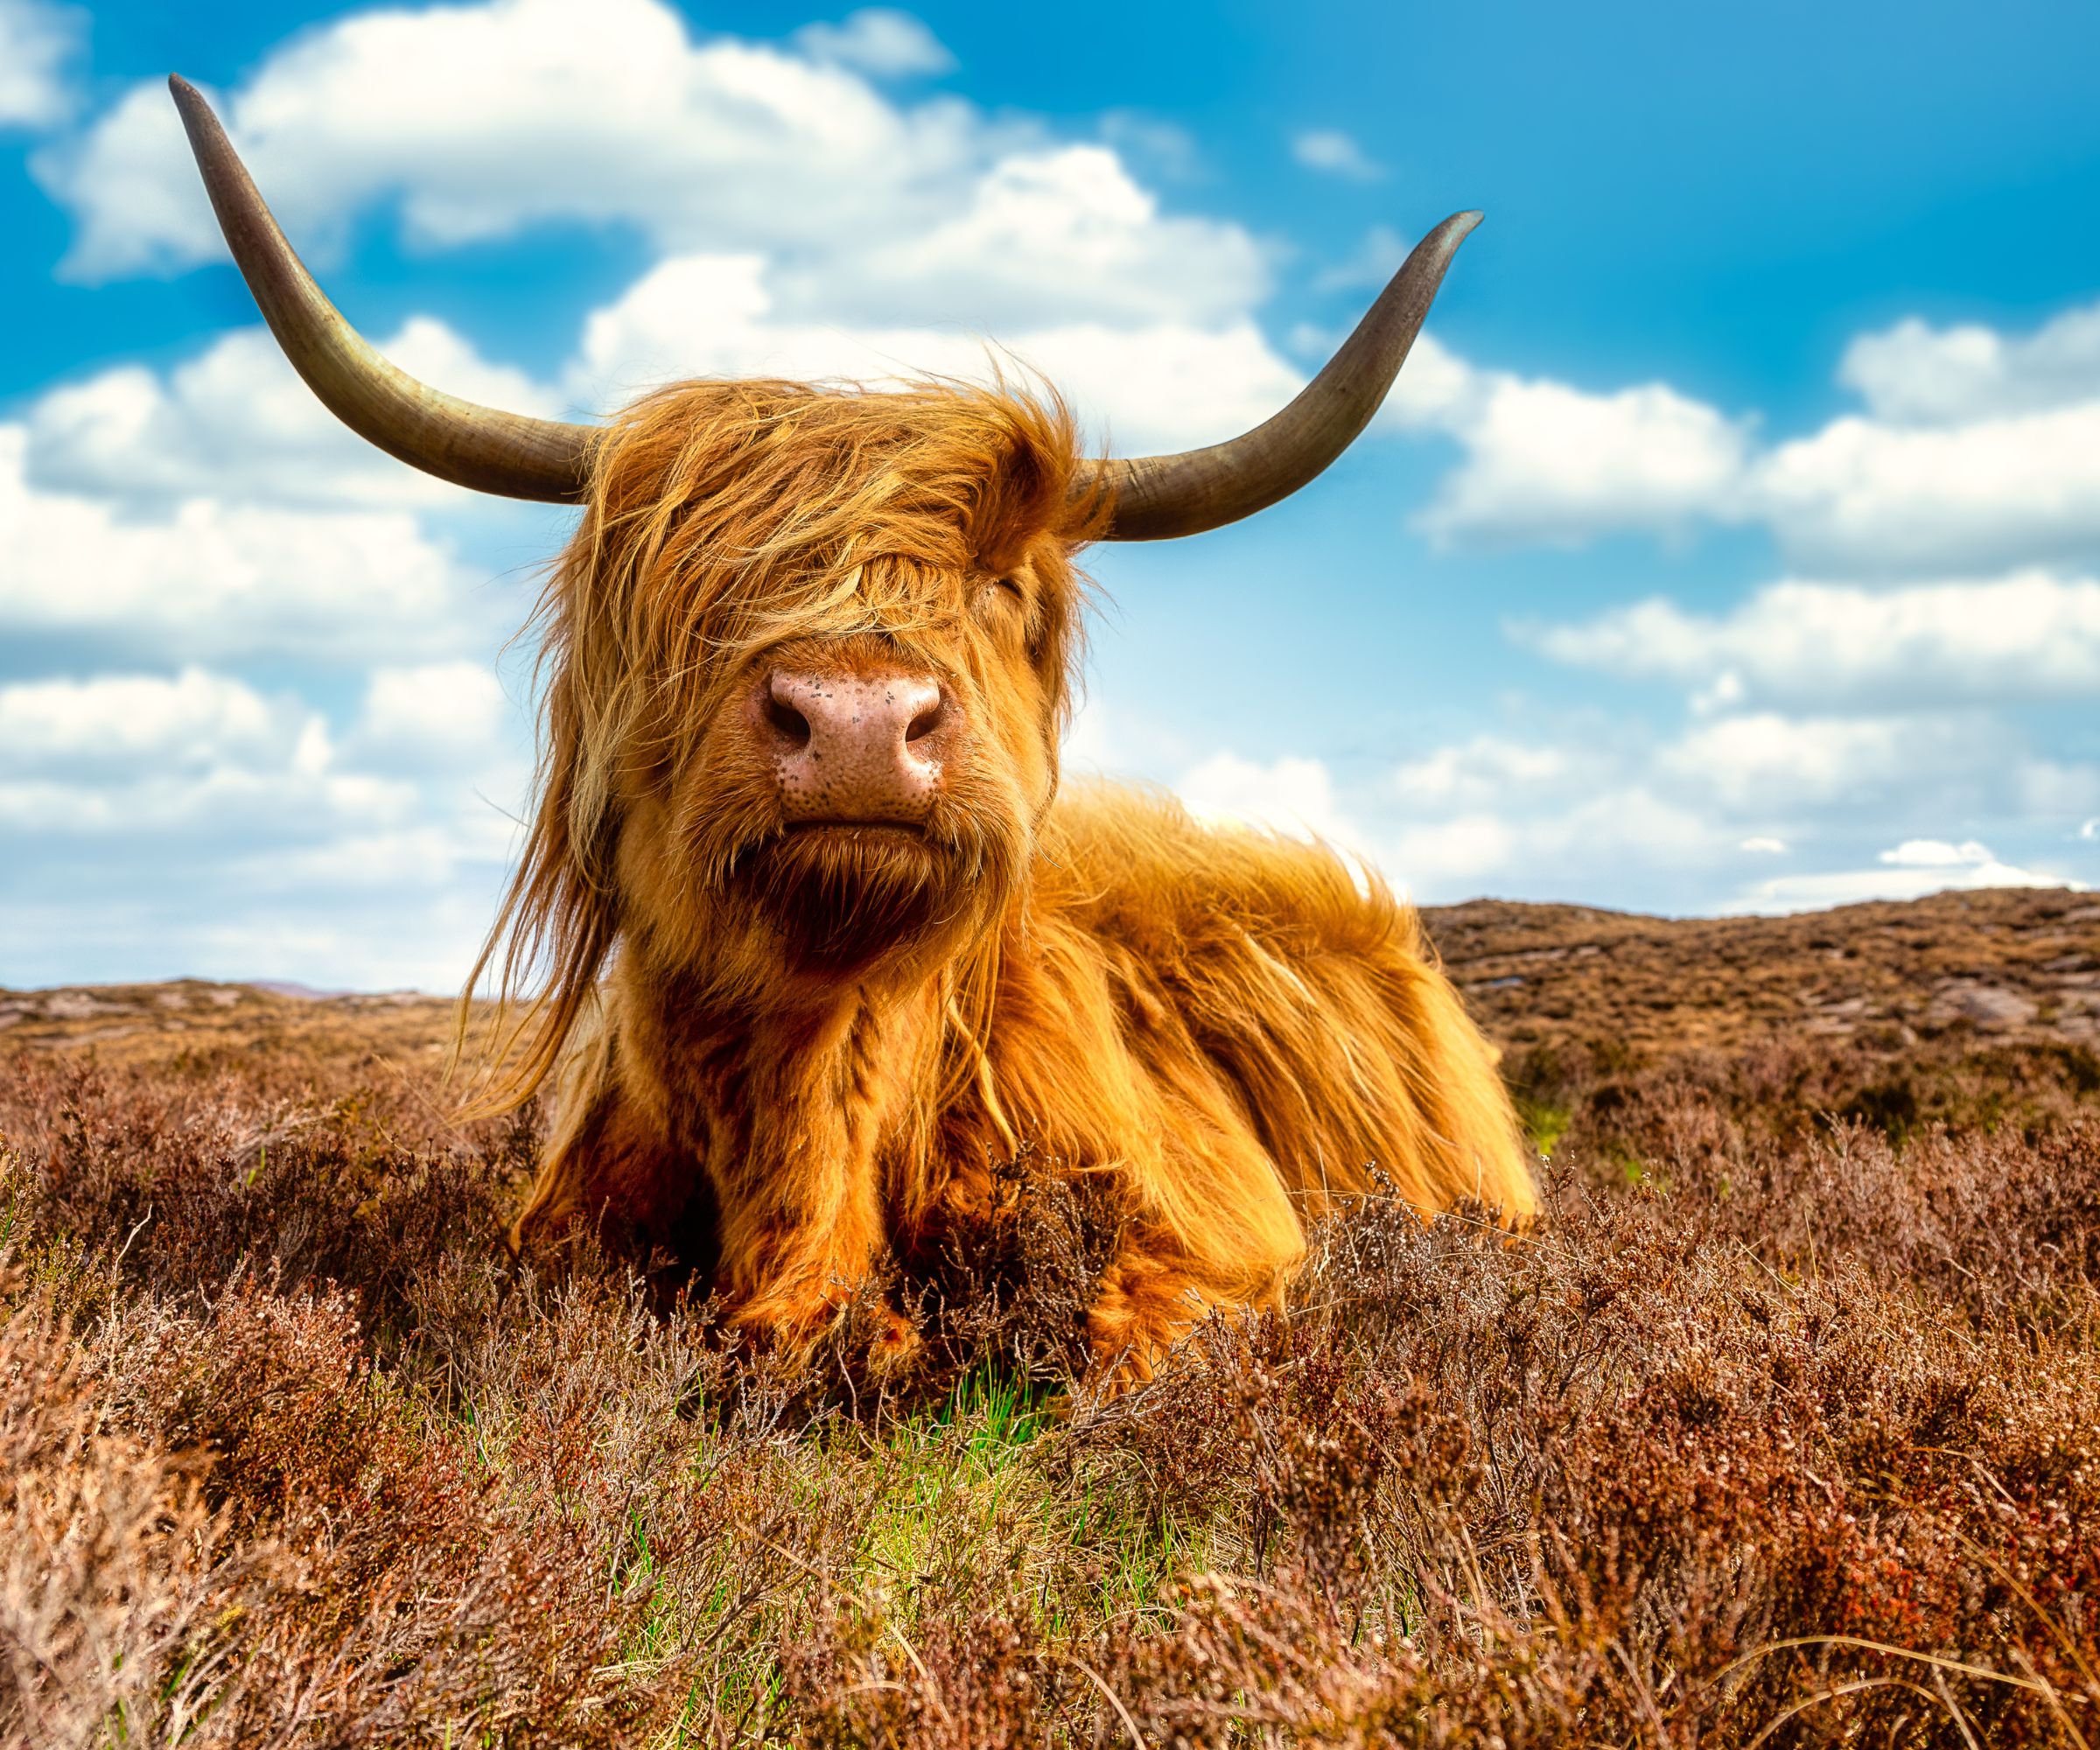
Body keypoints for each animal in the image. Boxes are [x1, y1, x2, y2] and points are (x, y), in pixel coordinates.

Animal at [171, 76, 1536, 1382]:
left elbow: (1128, 1350)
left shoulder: (1220, 1243)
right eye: (689, 586)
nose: (863, 724)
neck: (809, 1105)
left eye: (1000, 583)